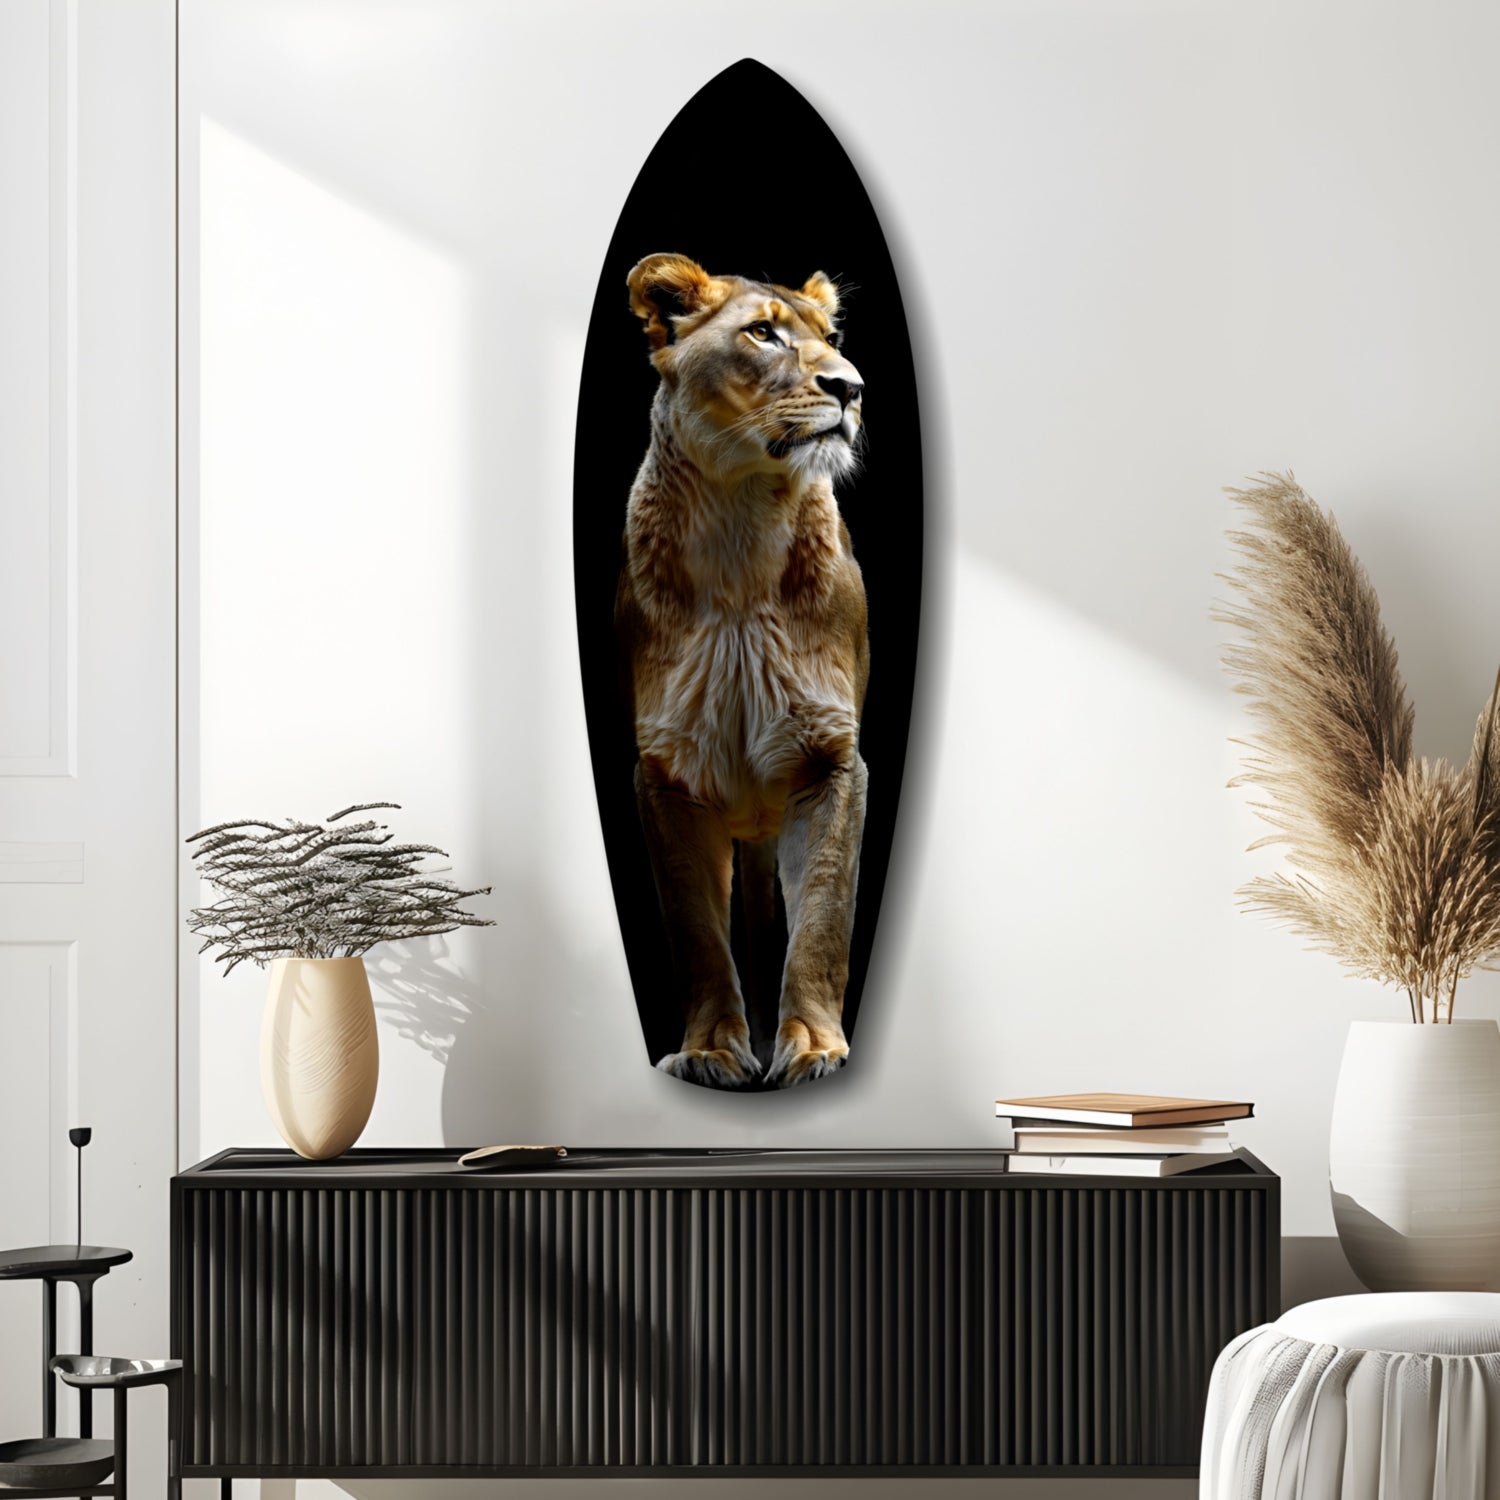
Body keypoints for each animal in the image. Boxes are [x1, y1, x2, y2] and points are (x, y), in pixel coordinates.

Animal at [615, 252, 870, 1090]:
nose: (852, 388)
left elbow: (823, 912)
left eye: (832, 339)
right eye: (763, 333)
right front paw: (712, 1048)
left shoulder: (831, 760)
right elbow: (695, 928)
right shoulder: (665, 772)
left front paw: (814, 1045)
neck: (743, 526)